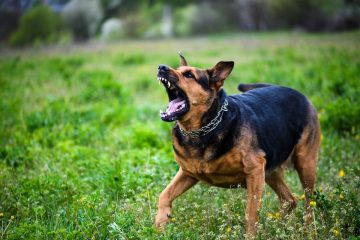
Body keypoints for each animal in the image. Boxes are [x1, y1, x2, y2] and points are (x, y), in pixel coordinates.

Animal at [155, 53, 320, 236]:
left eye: (189, 75)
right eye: (178, 69)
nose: (161, 67)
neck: (202, 129)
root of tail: (297, 93)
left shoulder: (254, 171)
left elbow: (251, 213)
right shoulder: (187, 173)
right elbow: (164, 195)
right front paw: (160, 225)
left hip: (305, 162)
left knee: (309, 203)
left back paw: (309, 231)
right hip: (271, 170)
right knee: (289, 200)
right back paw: (282, 228)